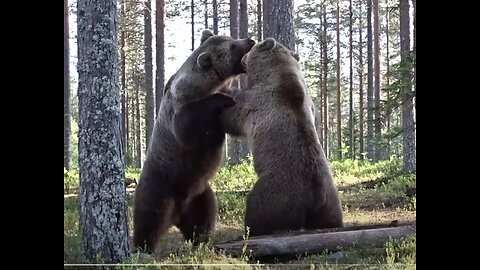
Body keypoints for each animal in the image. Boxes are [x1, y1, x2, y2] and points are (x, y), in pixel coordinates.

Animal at [132, 29, 255, 253]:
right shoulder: (181, 108)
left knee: (204, 217)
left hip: (199, 193)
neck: (204, 85)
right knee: (149, 218)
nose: (250, 40)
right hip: (161, 185)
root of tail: (176, 214)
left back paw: (202, 241)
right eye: (233, 46)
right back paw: (142, 248)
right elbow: (188, 127)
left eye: (231, 37)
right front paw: (222, 99)